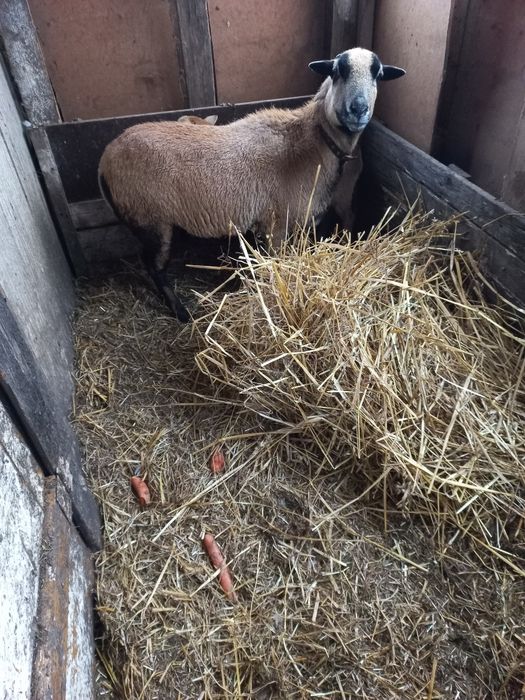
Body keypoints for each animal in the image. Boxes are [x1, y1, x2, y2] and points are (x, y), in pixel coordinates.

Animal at [99, 47, 405, 320]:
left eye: (378, 74)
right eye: (337, 70)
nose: (359, 109)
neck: (312, 140)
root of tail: (106, 158)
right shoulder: (276, 223)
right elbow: (276, 263)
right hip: (150, 219)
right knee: (153, 266)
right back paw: (181, 311)